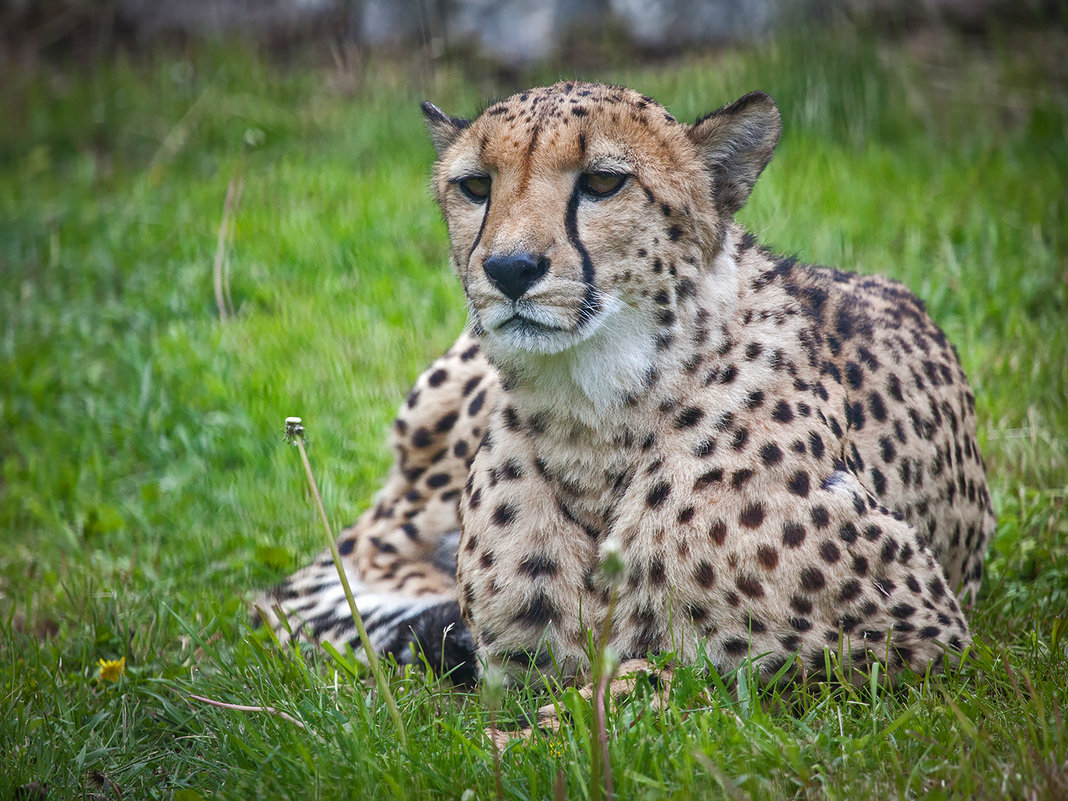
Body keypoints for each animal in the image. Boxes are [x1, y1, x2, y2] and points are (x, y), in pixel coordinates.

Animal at [254, 83, 995, 709]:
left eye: (604, 182)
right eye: (475, 185)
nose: (510, 269)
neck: (593, 423)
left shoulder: (919, 636)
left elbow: (668, 673)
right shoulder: (513, 672)